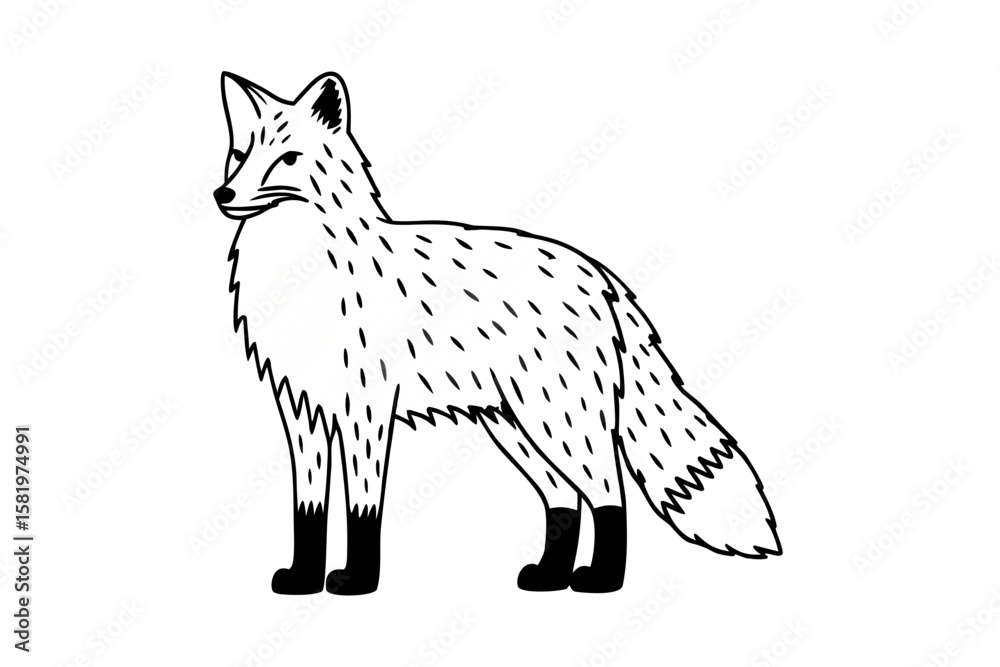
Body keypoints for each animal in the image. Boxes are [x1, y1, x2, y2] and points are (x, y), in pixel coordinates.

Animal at [214, 71, 781, 595]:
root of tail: (601, 275)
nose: (223, 194)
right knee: (564, 499)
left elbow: (362, 510)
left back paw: (601, 580)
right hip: (518, 426)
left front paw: (356, 579)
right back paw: (550, 576)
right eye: (239, 154)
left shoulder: (366, 413)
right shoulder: (302, 411)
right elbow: (307, 511)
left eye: (288, 159)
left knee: (608, 494)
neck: (305, 278)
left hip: (559, 419)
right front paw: (304, 578)